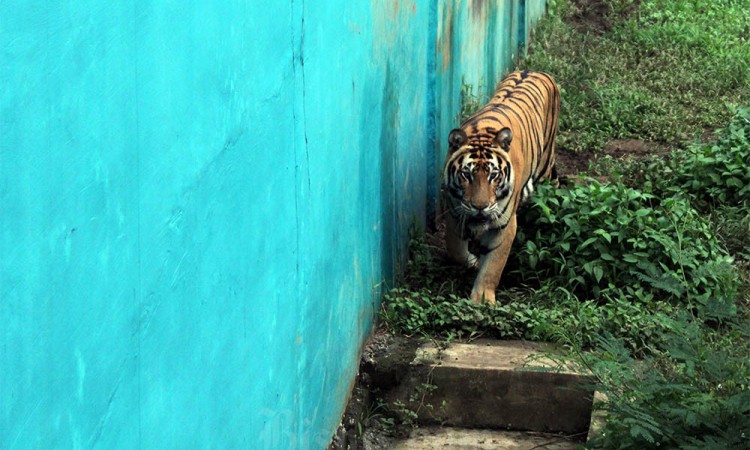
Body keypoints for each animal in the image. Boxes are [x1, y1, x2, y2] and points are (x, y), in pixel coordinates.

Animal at [444, 69, 560, 302]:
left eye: (494, 175)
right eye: (466, 175)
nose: (480, 207)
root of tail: (535, 70)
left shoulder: (504, 224)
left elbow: (494, 265)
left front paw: (482, 299)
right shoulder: (454, 212)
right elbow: (455, 250)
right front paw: (472, 261)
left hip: (546, 168)